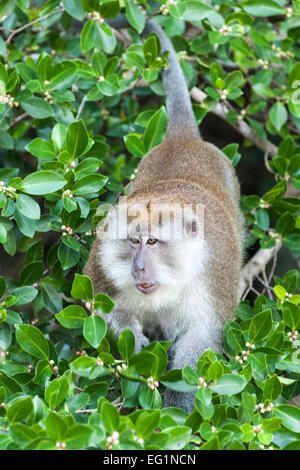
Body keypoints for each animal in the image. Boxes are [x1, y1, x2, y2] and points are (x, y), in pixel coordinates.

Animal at [84, 14, 244, 412]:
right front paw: (128, 331)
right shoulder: (103, 256)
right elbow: (95, 293)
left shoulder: (214, 272)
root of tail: (181, 139)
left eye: (153, 242)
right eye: (133, 242)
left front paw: (177, 408)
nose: (139, 267)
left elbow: (203, 337)